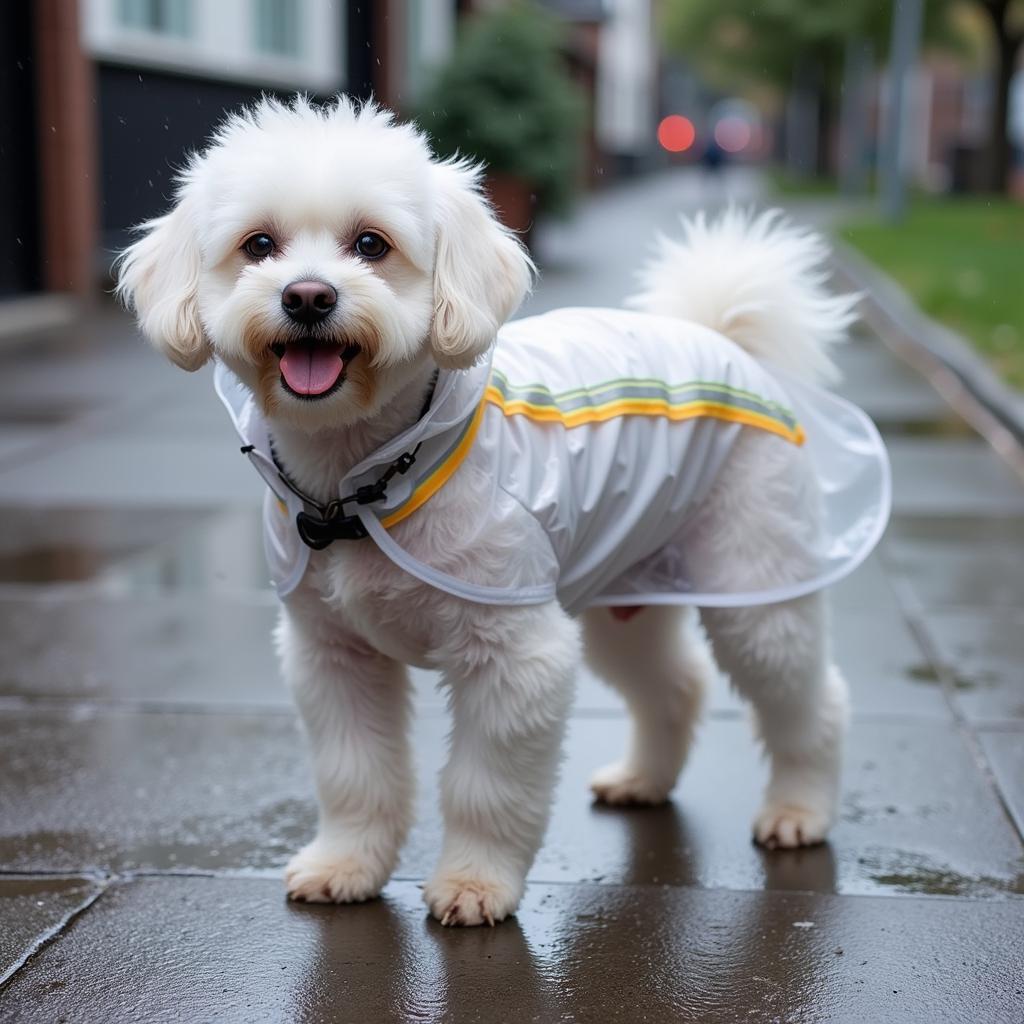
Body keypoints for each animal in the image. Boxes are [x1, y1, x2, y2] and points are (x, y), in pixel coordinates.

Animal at [117, 97, 864, 929]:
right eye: (259, 245)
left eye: (371, 244)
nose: (307, 296)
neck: (364, 482)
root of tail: (726, 340)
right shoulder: (332, 658)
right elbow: (354, 775)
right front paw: (347, 864)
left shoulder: (515, 656)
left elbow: (486, 786)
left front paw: (476, 883)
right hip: (624, 597)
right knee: (677, 685)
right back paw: (644, 779)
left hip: (754, 593)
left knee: (813, 699)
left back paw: (799, 810)